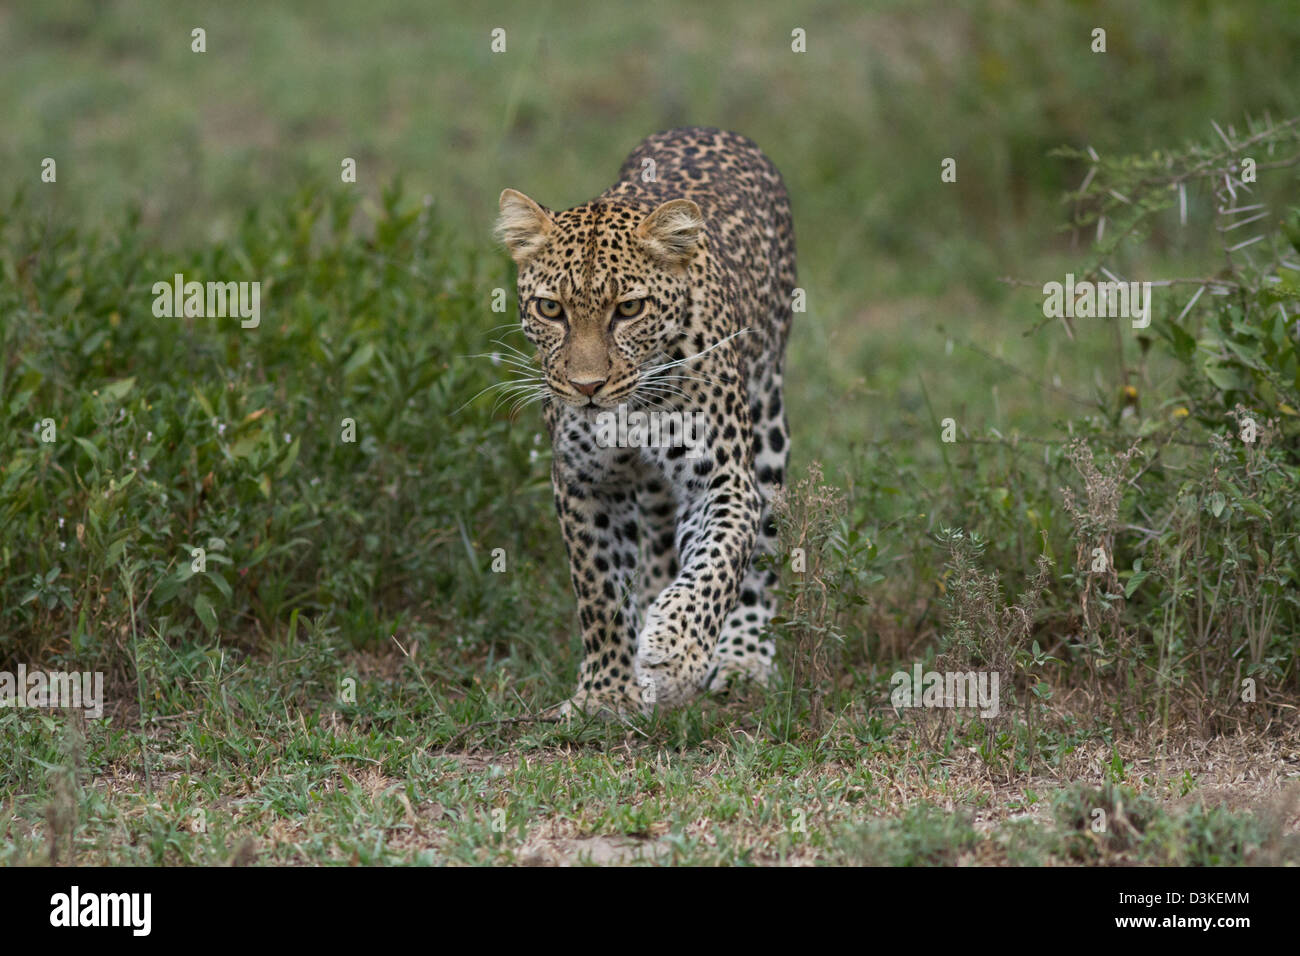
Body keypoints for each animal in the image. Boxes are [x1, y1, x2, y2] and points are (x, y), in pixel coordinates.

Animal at [493, 127, 790, 712]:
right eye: (550, 309)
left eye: (629, 309)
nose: (587, 387)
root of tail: (708, 128)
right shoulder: (585, 485)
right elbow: (600, 594)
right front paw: (607, 693)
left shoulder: (723, 479)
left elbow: (716, 566)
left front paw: (675, 649)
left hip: (768, 427)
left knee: (755, 563)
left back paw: (742, 658)